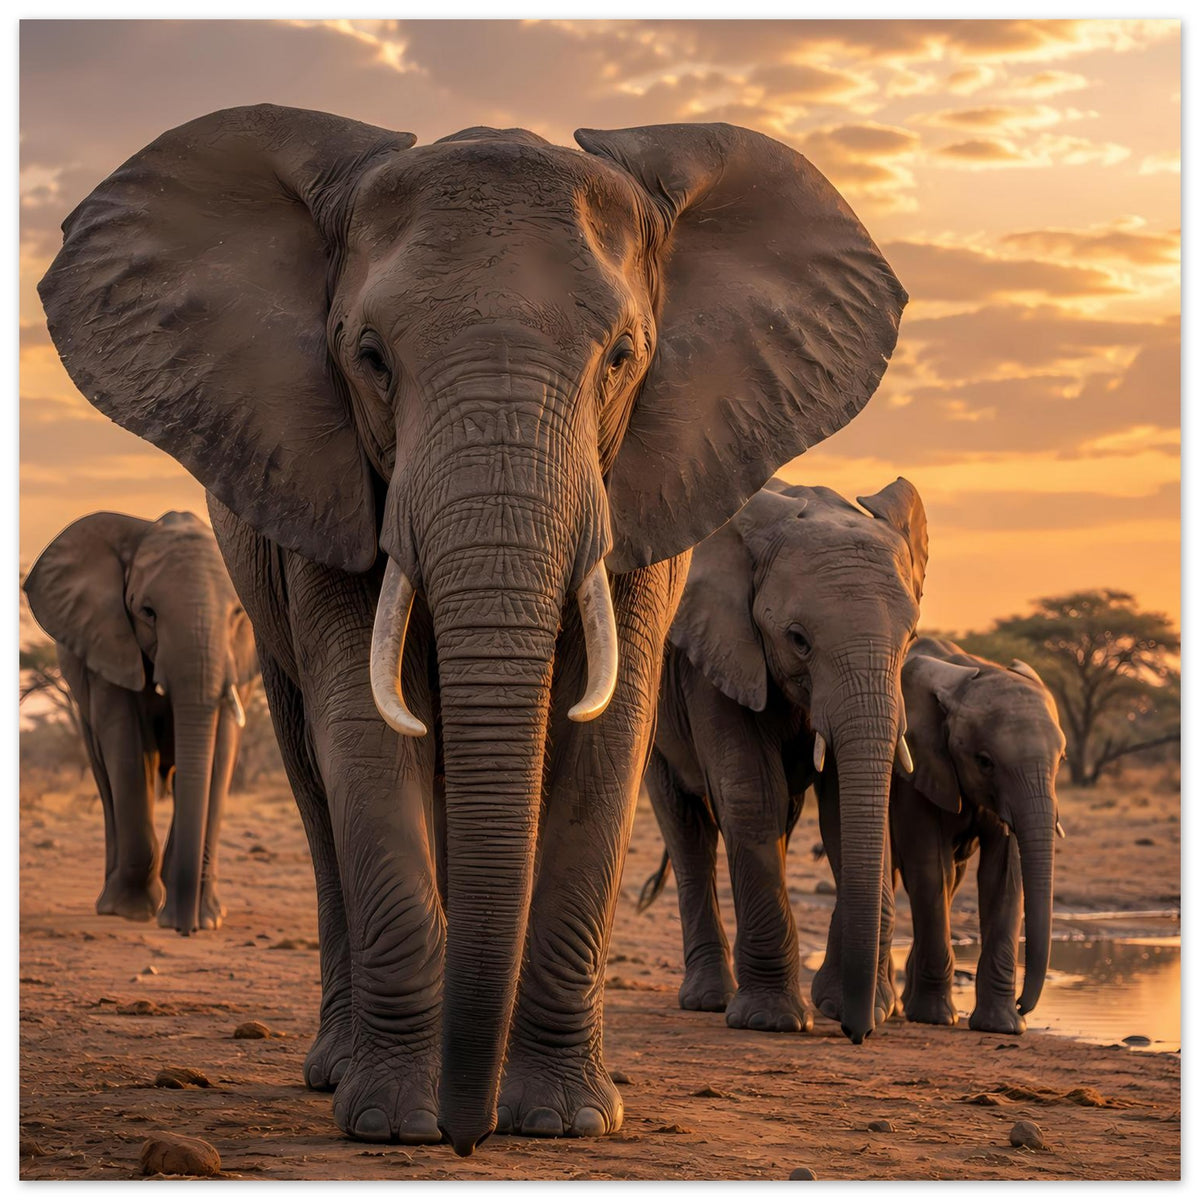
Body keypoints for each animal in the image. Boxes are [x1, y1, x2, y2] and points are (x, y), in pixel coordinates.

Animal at [22, 510, 258, 932]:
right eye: (147, 612)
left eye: (236, 614)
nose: (184, 928)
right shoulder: (107, 642)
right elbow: (127, 745)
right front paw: (133, 911)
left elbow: (220, 749)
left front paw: (209, 919)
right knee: (105, 774)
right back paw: (110, 903)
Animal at [641, 478, 927, 1041]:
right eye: (798, 639)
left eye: (910, 639)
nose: (859, 1033)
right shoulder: (715, 655)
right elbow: (751, 794)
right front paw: (769, 1022)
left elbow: (843, 809)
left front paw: (852, 1006)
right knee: (687, 827)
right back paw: (708, 1000)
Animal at [889, 637, 1066, 1034]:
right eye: (984, 762)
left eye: (1061, 760)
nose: (1024, 1004)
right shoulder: (915, 771)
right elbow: (928, 867)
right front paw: (935, 1018)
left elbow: (1004, 875)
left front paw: (1003, 1026)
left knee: (952, 880)